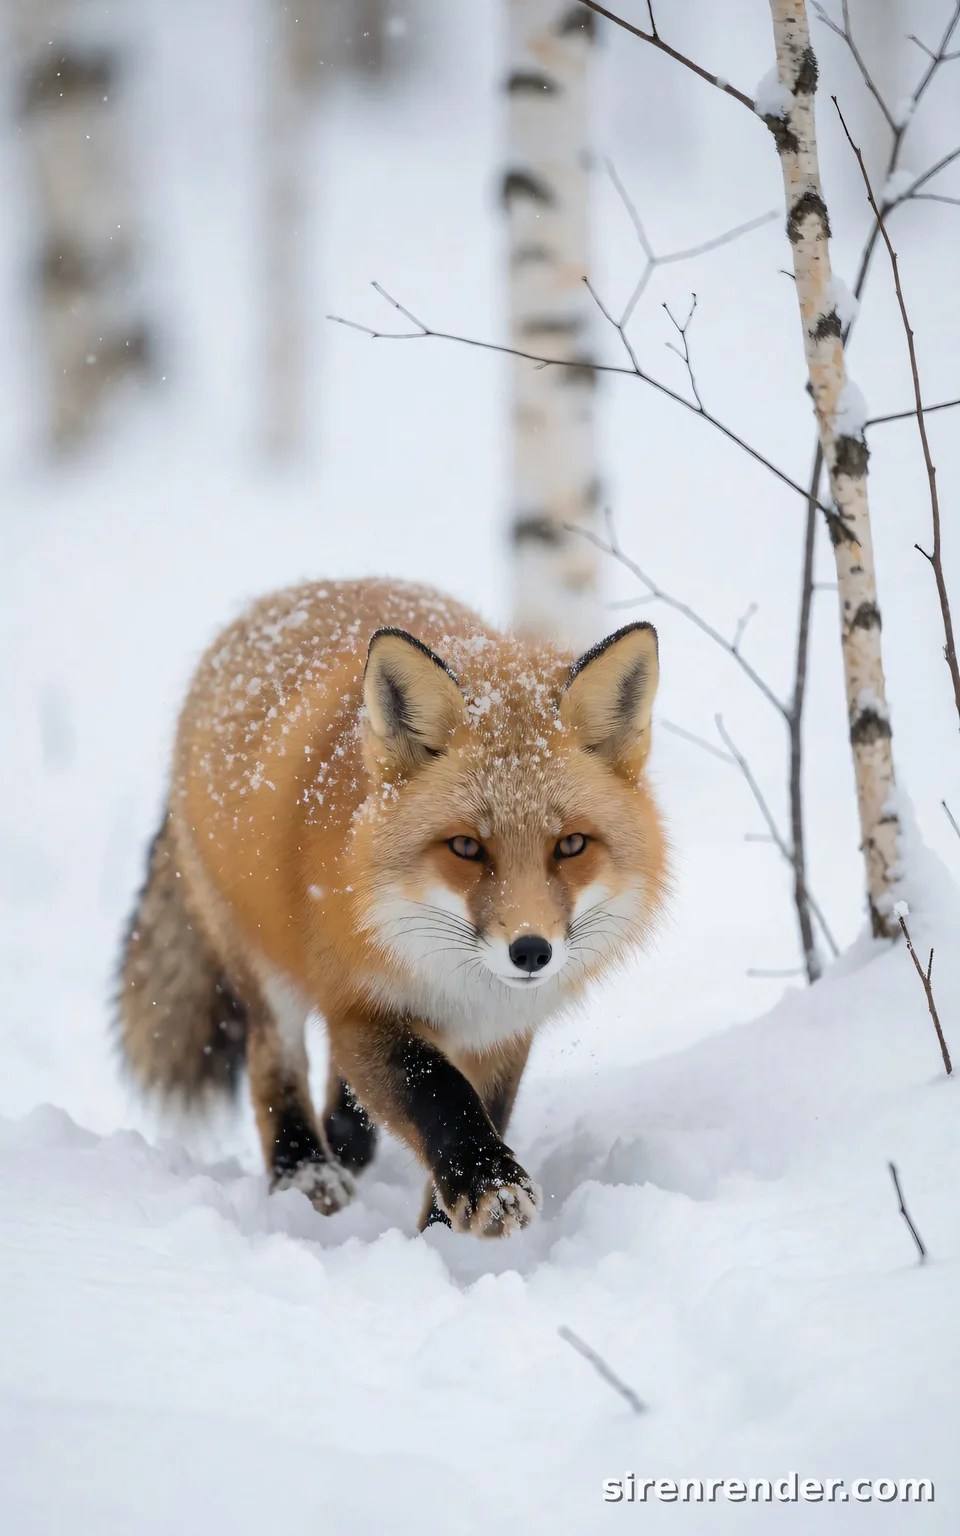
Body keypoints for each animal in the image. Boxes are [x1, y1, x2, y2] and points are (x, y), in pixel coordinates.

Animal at [118, 579, 667, 1237]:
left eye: (571, 845)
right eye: (466, 847)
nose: (531, 952)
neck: (458, 985)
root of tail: (277, 598)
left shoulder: (504, 1029)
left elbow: (486, 1105)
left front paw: (440, 1230)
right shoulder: (355, 1005)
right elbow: (435, 1091)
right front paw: (488, 1184)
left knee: (344, 1104)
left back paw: (345, 1150)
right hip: (263, 967)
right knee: (272, 1065)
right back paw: (304, 1172)